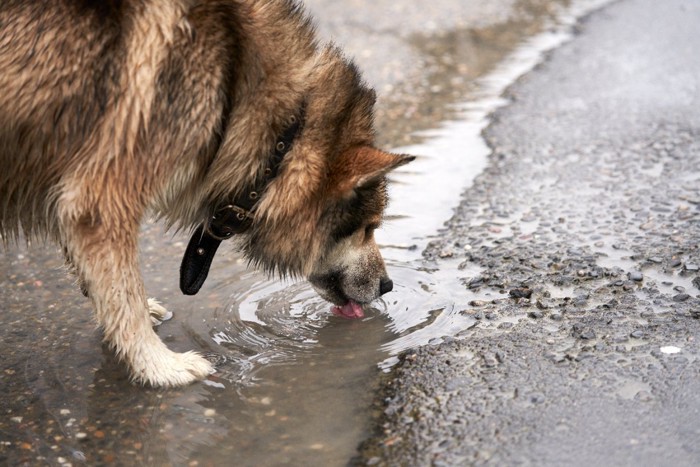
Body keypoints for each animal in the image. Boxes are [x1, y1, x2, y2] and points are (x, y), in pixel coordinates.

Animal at [0, 0, 412, 388]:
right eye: (368, 227)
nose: (389, 286)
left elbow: (104, 283)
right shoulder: (100, 201)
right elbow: (124, 294)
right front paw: (158, 365)